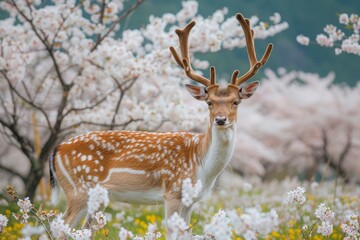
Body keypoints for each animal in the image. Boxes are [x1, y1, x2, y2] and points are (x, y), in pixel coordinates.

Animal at [49, 13, 272, 238]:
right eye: (209, 102)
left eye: (236, 101)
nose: (220, 119)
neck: (202, 165)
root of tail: (56, 149)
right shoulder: (172, 192)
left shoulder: (190, 200)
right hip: (79, 188)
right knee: (61, 226)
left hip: (97, 197)